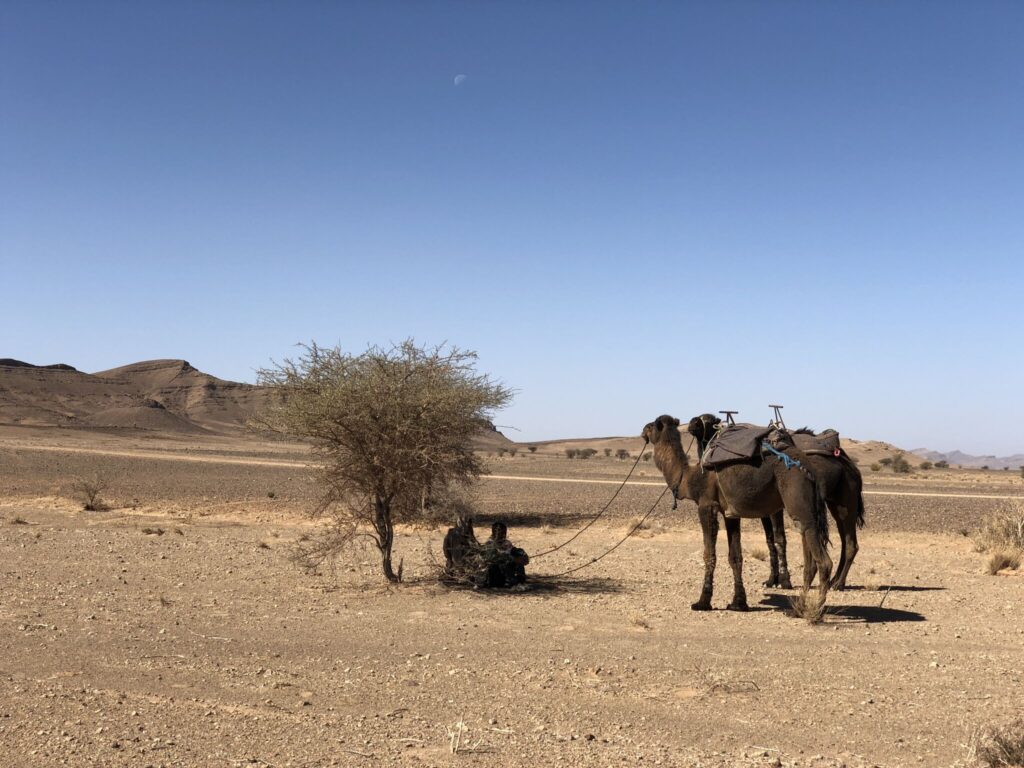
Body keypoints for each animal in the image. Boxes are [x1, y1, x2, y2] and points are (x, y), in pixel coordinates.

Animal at [643, 415, 835, 614]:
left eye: (651, 426)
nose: (643, 431)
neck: (690, 477)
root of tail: (808, 467)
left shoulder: (706, 506)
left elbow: (709, 554)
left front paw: (702, 602)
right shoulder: (730, 514)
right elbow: (735, 557)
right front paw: (738, 603)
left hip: (796, 491)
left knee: (823, 560)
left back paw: (814, 610)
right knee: (809, 556)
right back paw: (799, 608)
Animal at [688, 417, 864, 593]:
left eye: (706, 419)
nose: (691, 424)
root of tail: (851, 465)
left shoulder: (775, 509)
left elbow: (779, 538)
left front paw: (784, 581)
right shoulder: (765, 510)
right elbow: (770, 540)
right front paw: (771, 580)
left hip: (844, 500)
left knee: (849, 542)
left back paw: (837, 583)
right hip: (834, 503)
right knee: (843, 538)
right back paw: (834, 581)